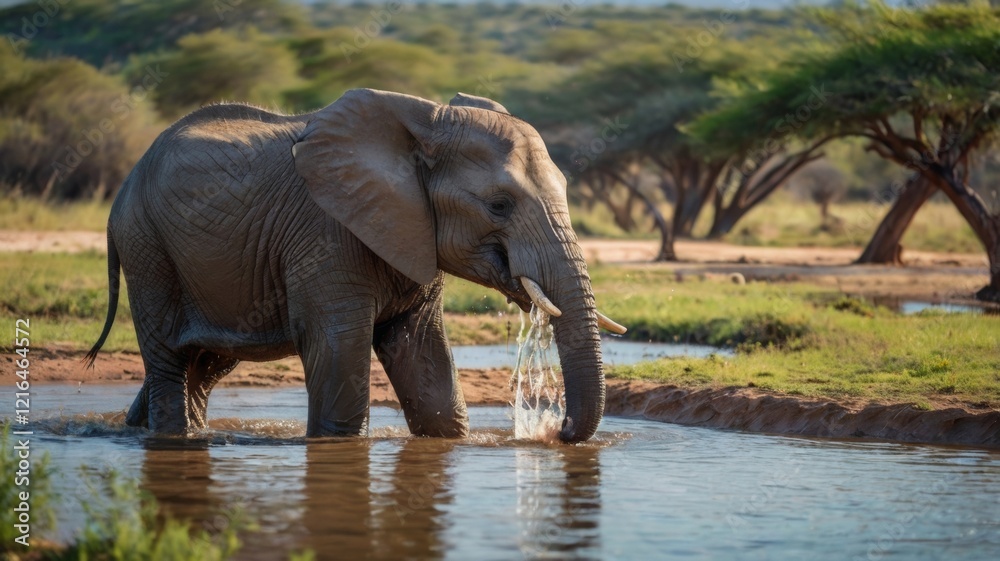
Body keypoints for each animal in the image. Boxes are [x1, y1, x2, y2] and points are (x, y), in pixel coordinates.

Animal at [85, 88, 625, 442]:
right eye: (499, 205)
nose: (558, 431)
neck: (426, 121)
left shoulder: (411, 232)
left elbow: (426, 366)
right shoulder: (325, 234)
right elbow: (338, 350)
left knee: (204, 363)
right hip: (147, 247)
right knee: (170, 363)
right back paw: (172, 437)